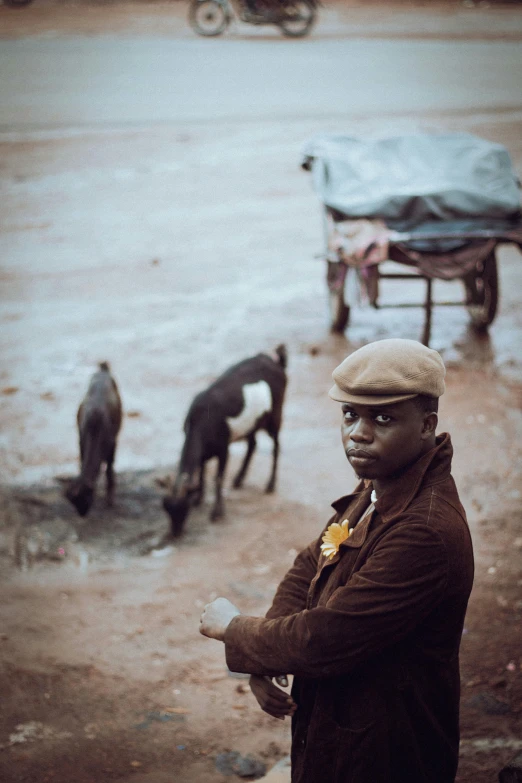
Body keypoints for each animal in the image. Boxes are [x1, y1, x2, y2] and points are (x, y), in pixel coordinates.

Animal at [64, 362, 122, 520]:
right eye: (73, 501)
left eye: (85, 498)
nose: (82, 513)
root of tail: (103, 369)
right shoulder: (81, 441)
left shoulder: (112, 444)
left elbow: (109, 469)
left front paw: (110, 500)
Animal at [161, 344, 286, 540]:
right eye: (167, 509)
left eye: (183, 509)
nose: (175, 533)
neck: (202, 420)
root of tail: (274, 360)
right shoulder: (204, 452)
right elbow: (202, 472)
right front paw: (199, 497)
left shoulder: (223, 448)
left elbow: (218, 478)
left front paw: (217, 513)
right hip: (252, 423)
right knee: (253, 444)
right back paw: (239, 479)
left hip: (274, 417)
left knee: (276, 446)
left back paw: (270, 485)